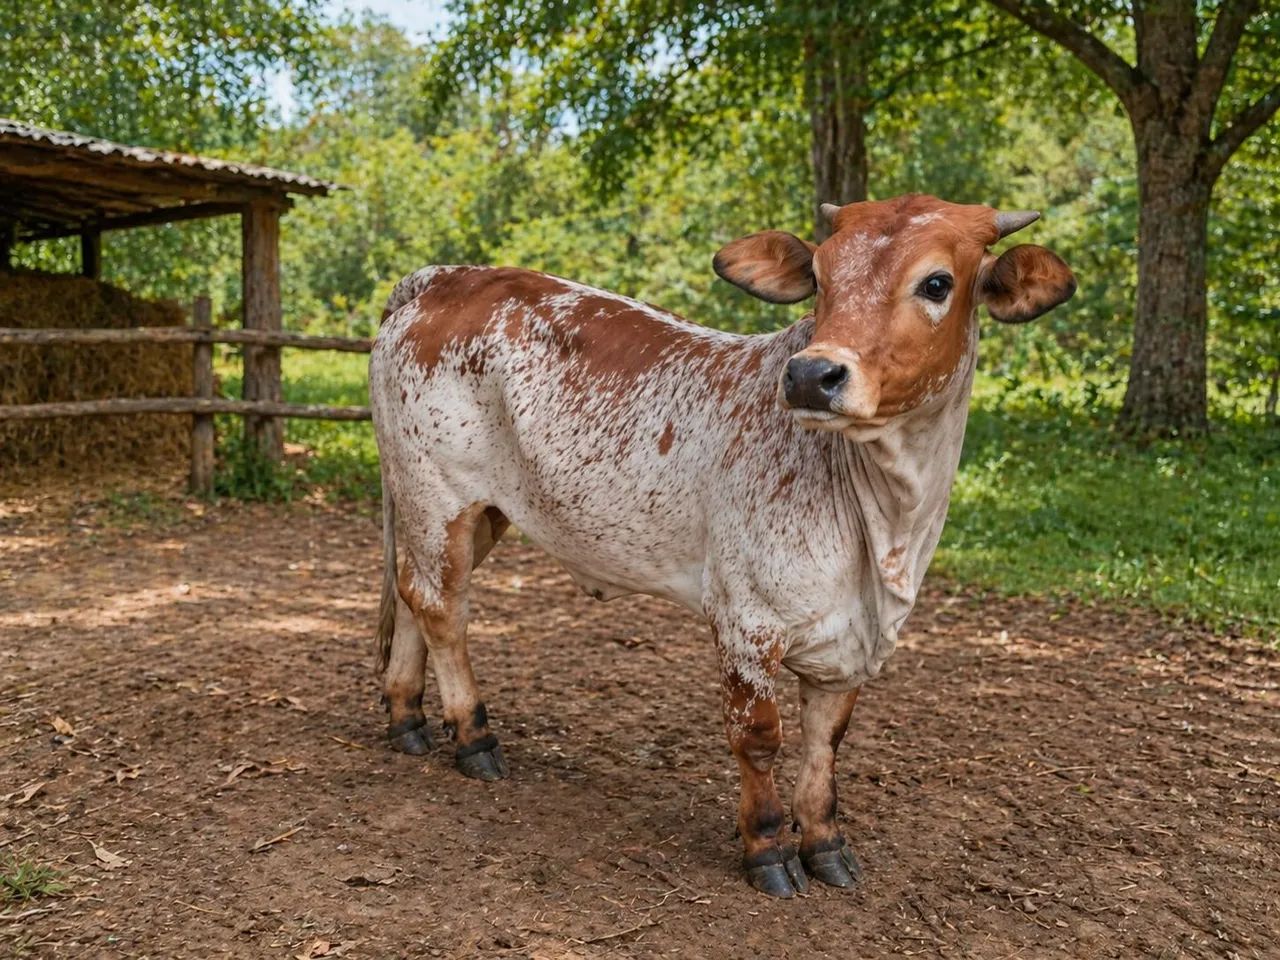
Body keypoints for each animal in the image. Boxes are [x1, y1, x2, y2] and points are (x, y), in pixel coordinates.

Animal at [368, 194, 1076, 898]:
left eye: (936, 283)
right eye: (820, 277)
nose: (811, 376)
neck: (890, 527)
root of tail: (442, 278)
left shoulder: (852, 639)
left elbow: (826, 741)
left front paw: (825, 842)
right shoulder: (745, 620)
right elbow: (759, 737)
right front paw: (767, 846)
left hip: (475, 512)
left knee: (412, 593)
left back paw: (406, 718)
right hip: (439, 496)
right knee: (443, 608)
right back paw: (473, 736)